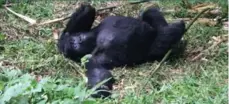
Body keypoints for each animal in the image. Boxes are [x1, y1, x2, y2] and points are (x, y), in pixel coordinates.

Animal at [57, 3, 186, 98]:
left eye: (72, 42)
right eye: (73, 46)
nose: (76, 42)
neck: (95, 38)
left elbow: (85, 14)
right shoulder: (89, 58)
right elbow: (101, 78)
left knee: (150, 13)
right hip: (155, 46)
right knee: (162, 39)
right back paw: (177, 32)